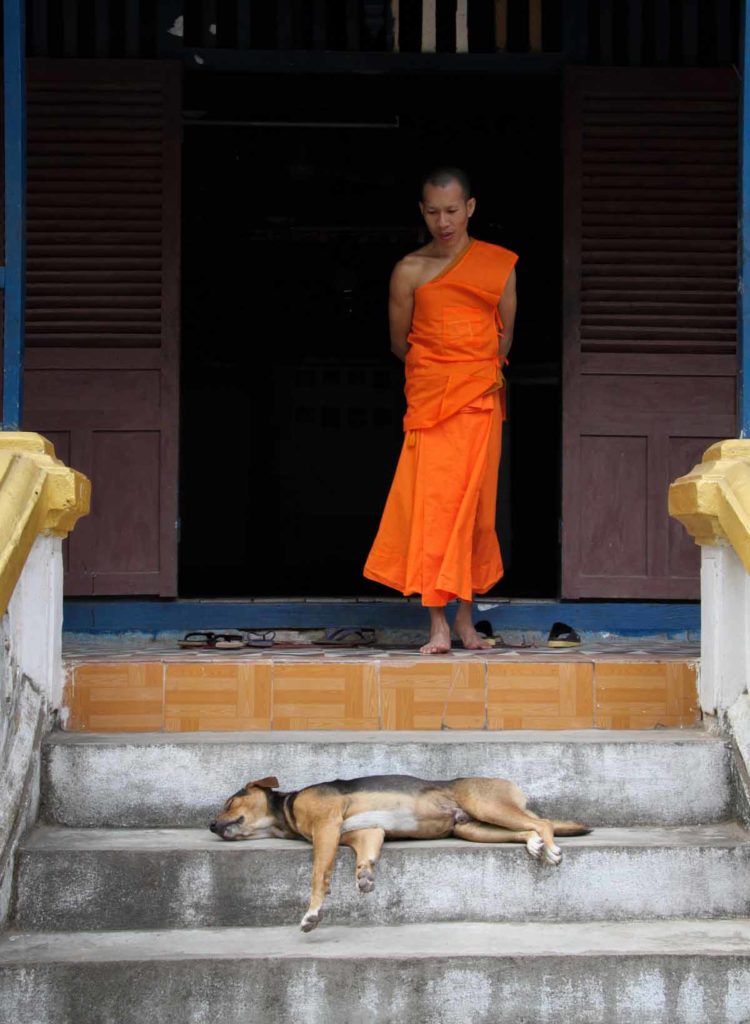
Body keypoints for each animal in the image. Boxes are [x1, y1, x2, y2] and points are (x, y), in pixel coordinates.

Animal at [207, 770, 590, 933]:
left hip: (486, 805)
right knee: (528, 827)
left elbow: (320, 873)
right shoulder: (367, 832)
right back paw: (534, 844)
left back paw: (550, 848)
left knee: (544, 822)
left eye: (229, 802)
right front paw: (364, 874)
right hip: (474, 828)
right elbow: (364, 856)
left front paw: (313, 912)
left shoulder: (327, 826)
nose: (210, 826)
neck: (286, 810)